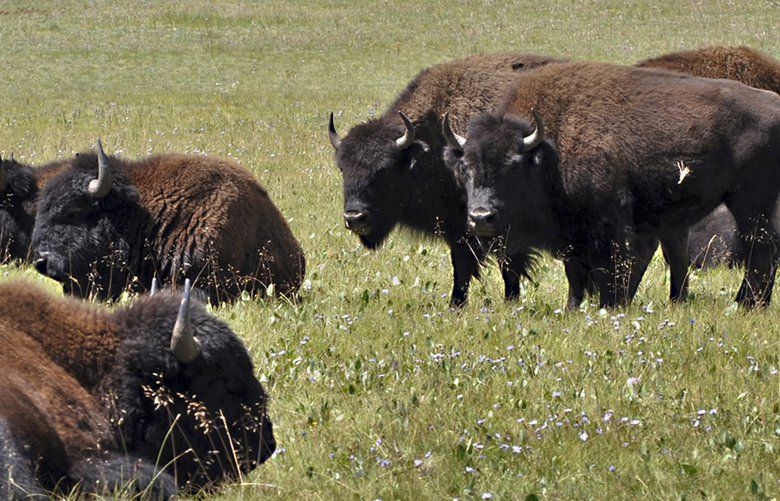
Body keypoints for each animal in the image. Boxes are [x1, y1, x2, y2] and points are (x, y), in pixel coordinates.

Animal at [444, 60, 780, 306]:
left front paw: (609, 305)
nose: (481, 217)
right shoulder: (573, 233)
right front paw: (574, 307)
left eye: (512, 166)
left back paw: (746, 304)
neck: (547, 149)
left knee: (761, 249)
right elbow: (574, 272)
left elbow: (609, 267)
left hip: (751, 201)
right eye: (465, 167)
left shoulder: (608, 222)